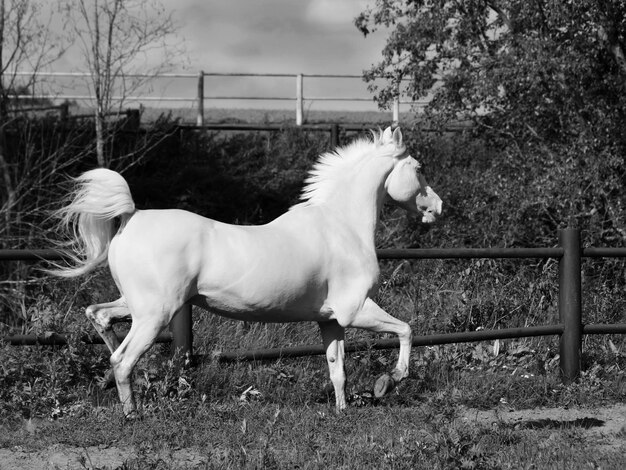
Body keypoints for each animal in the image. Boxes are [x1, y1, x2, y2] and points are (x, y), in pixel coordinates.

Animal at [50, 126, 438, 418]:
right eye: (419, 168)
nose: (437, 207)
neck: (341, 226)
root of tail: (130, 217)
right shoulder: (355, 309)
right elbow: (406, 330)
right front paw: (388, 382)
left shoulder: (330, 320)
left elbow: (336, 367)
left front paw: (343, 411)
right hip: (154, 314)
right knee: (122, 359)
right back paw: (133, 414)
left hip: (140, 306)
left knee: (99, 316)